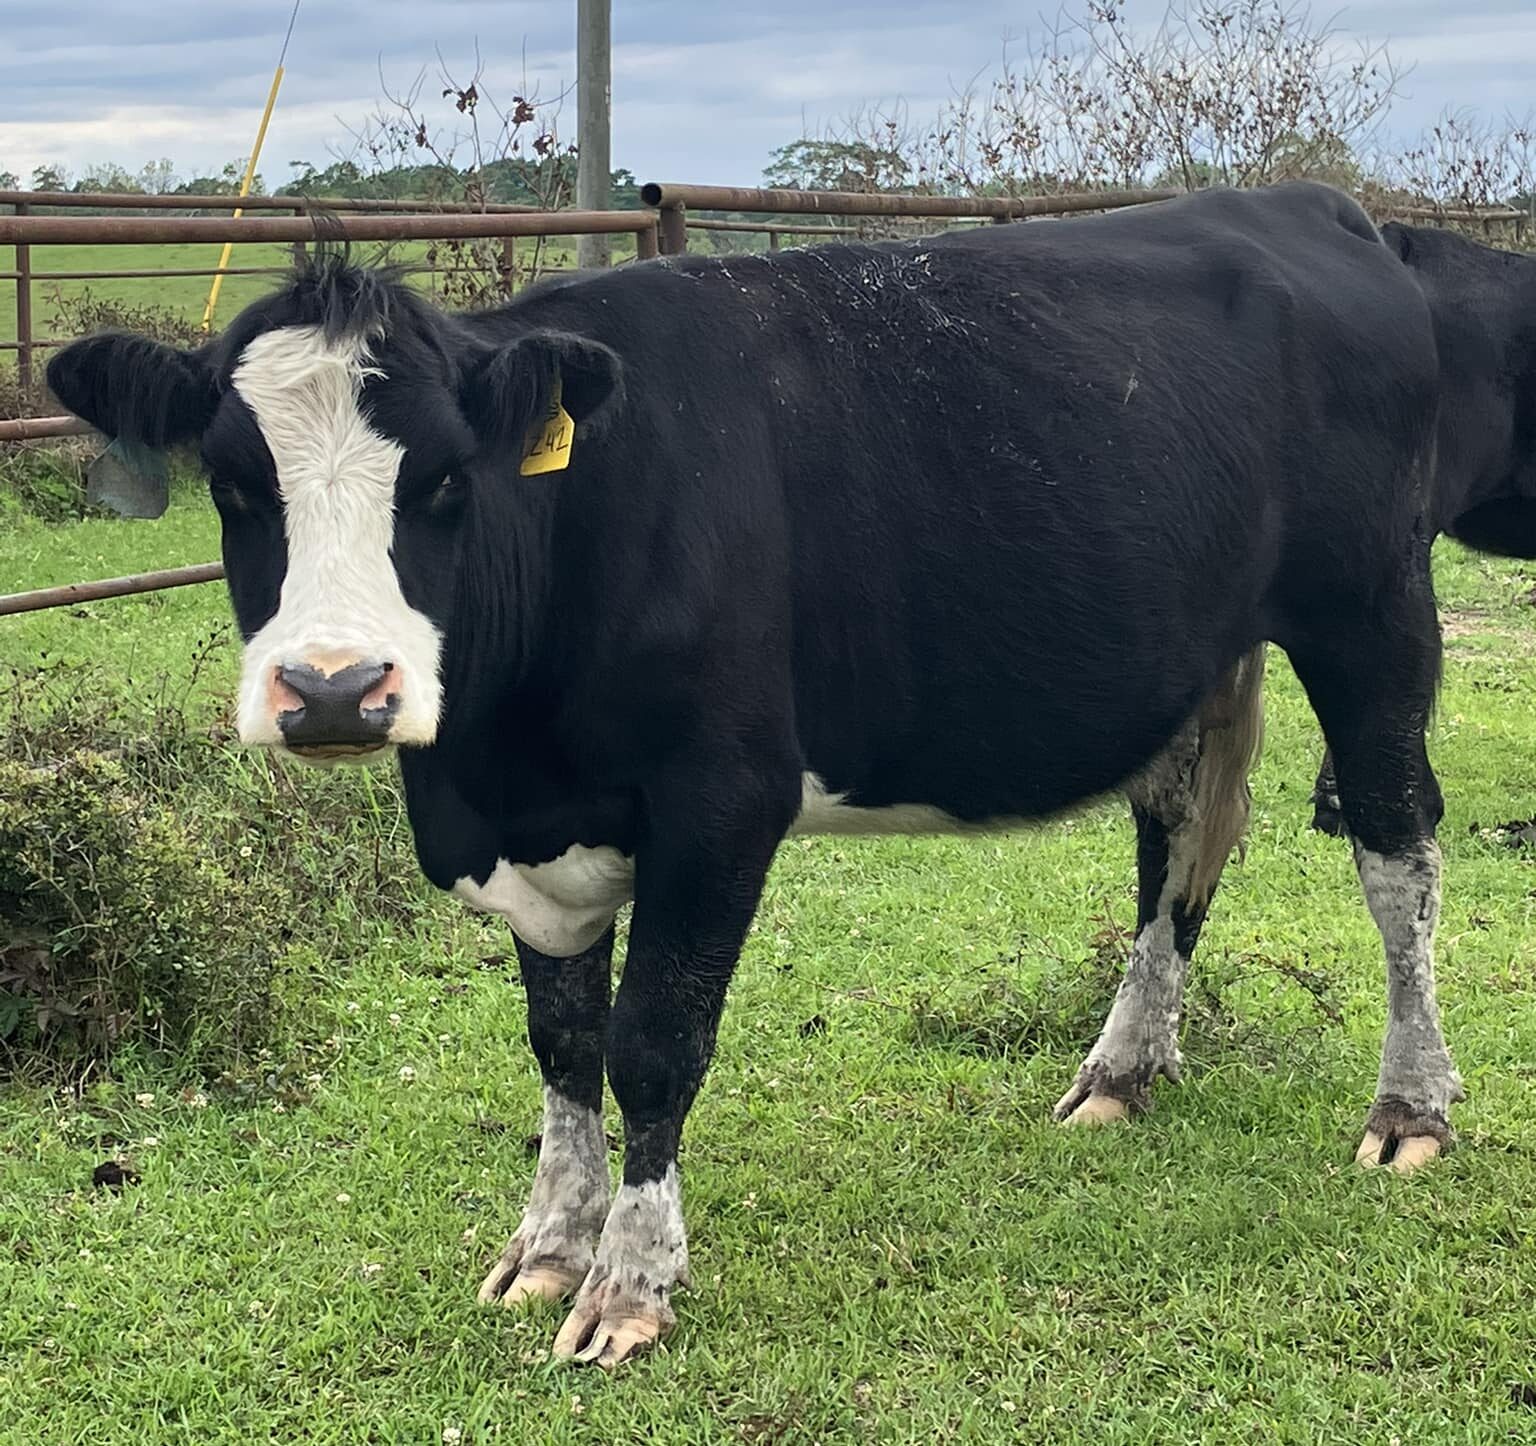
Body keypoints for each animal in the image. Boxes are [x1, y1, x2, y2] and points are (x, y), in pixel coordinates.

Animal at [46, 181, 1454, 1367]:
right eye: (236, 486)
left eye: (446, 479)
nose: (337, 689)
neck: (500, 769)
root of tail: (1304, 203)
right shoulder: (532, 841)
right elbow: (561, 1043)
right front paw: (548, 1246)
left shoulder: (720, 804)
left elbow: (654, 1046)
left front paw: (629, 1285)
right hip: (1198, 648)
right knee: (1176, 839)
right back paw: (1121, 1070)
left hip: (1370, 610)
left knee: (1399, 848)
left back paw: (1412, 1105)